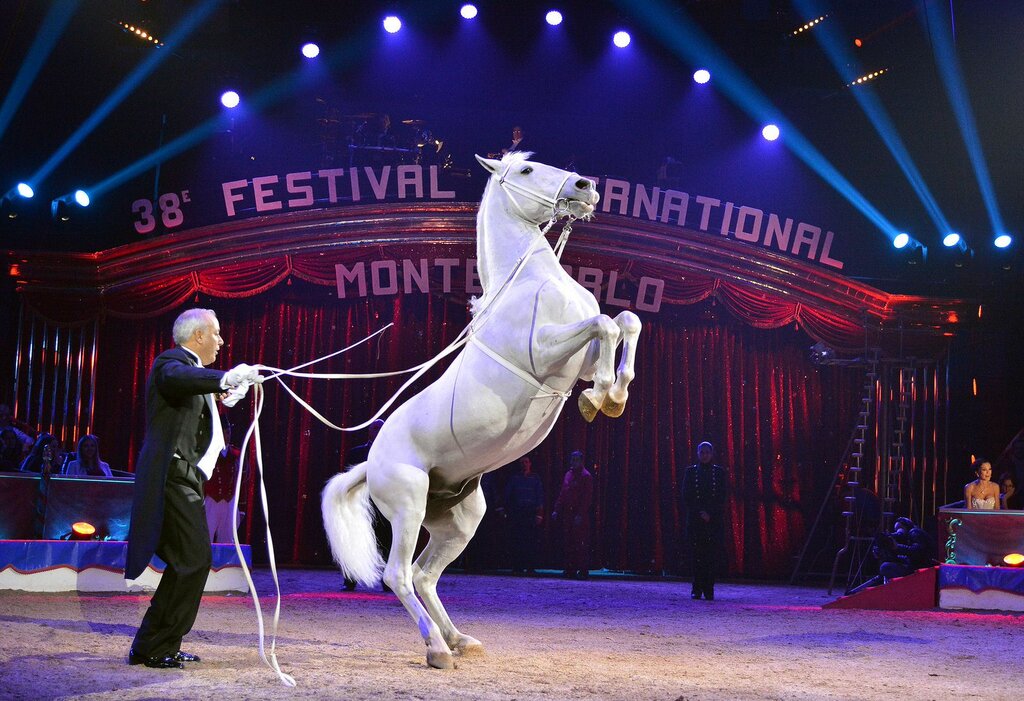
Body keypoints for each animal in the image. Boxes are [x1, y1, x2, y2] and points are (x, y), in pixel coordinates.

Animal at [319, 151, 638, 667]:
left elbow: (624, 321)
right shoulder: (546, 352)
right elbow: (604, 325)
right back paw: (436, 649)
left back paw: (459, 639)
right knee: (398, 575)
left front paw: (612, 396)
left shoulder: (580, 361)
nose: (586, 187)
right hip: (408, 506)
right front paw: (601, 397)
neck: (531, 282)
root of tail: (371, 463)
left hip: (459, 519)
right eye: (526, 171)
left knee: (425, 575)